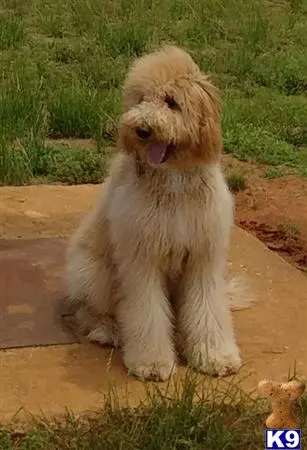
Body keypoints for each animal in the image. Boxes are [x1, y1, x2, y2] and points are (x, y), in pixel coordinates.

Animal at [67, 45, 245, 382]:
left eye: (171, 102)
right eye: (140, 99)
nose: (141, 130)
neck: (173, 180)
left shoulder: (203, 257)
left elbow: (207, 308)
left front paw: (215, 356)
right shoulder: (141, 258)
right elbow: (147, 312)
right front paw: (152, 363)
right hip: (92, 273)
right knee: (87, 310)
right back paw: (108, 329)